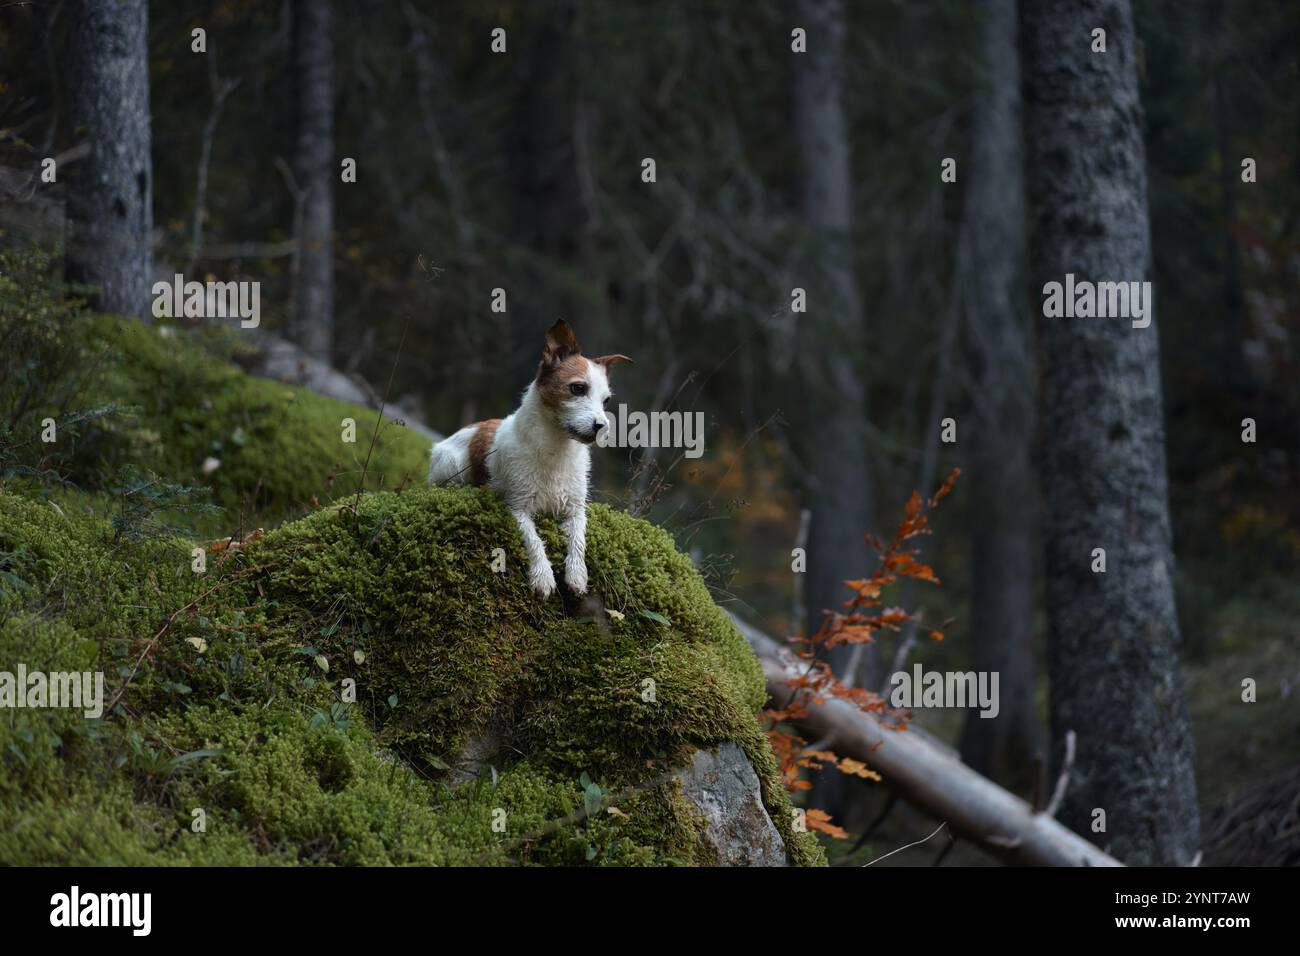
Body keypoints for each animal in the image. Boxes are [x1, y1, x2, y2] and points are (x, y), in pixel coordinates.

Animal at [428, 319, 631, 598]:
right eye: (578, 388)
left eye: (606, 400)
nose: (602, 427)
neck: (556, 450)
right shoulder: (517, 507)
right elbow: (533, 540)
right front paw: (543, 576)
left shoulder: (576, 509)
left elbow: (578, 540)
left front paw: (577, 575)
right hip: (451, 466)